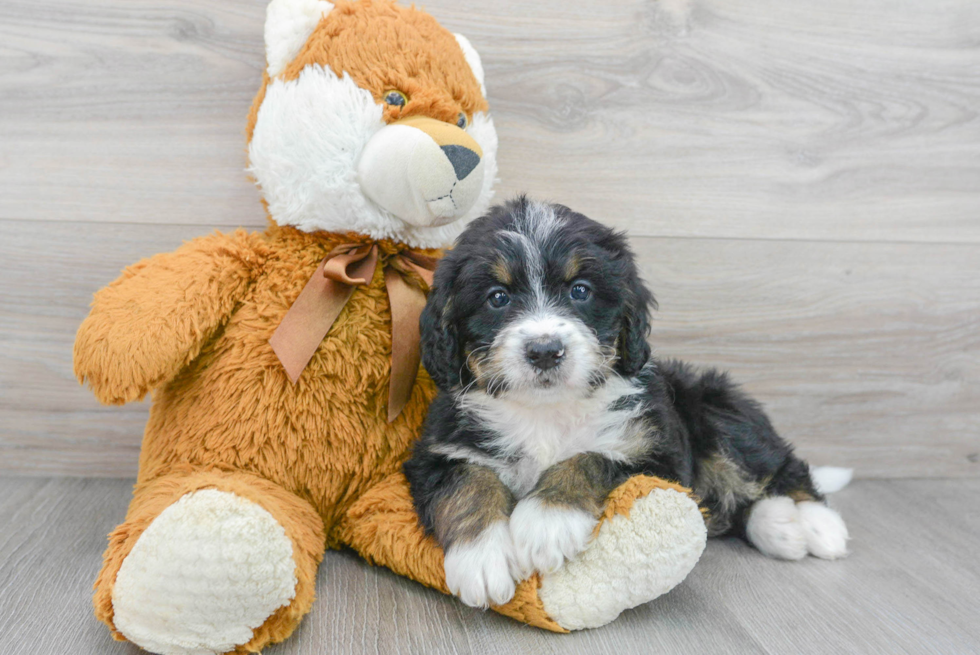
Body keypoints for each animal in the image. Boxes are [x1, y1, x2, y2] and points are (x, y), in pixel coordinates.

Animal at [406, 196, 848, 608]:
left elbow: (590, 458)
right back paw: (780, 527)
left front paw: (547, 520)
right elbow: (468, 481)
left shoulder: (658, 455)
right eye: (497, 298)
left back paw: (817, 524)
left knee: (779, 468)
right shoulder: (437, 451)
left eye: (580, 290)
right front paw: (482, 557)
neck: (546, 411)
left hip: (716, 407)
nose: (545, 350)